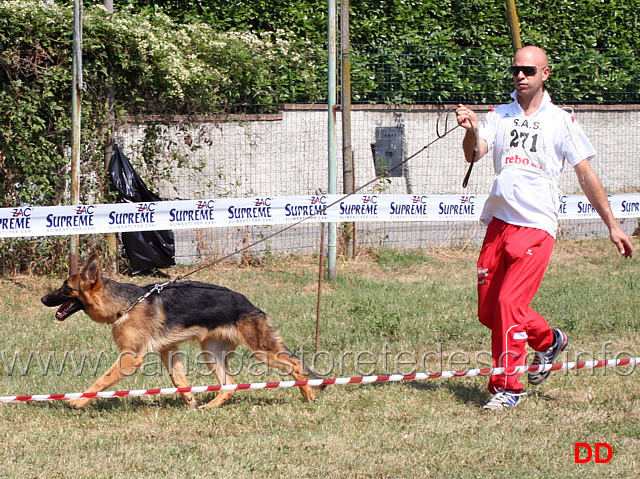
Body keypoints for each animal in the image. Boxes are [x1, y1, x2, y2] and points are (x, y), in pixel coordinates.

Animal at [40, 255, 320, 408]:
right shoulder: (168, 351)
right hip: (211, 354)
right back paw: (210, 406)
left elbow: (102, 380)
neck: (125, 305)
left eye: (65, 287)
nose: (43, 299)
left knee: (296, 365)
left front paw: (78, 400)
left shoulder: (129, 358)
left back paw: (309, 394)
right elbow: (179, 380)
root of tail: (250, 304)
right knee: (229, 384)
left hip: (262, 351)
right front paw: (190, 402)